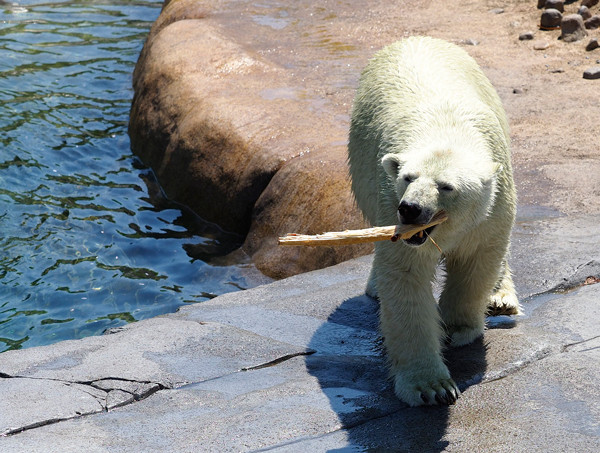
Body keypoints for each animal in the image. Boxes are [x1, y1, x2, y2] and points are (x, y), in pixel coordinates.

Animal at [346, 36, 520, 406]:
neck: (446, 128)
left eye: (446, 186)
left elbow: (477, 260)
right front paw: (432, 387)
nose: (410, 209)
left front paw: (457, 327)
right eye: (408, 178)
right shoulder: (388, 199)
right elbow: (406, 279)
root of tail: (416, 37)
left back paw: (501, 298)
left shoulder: (493, 205)